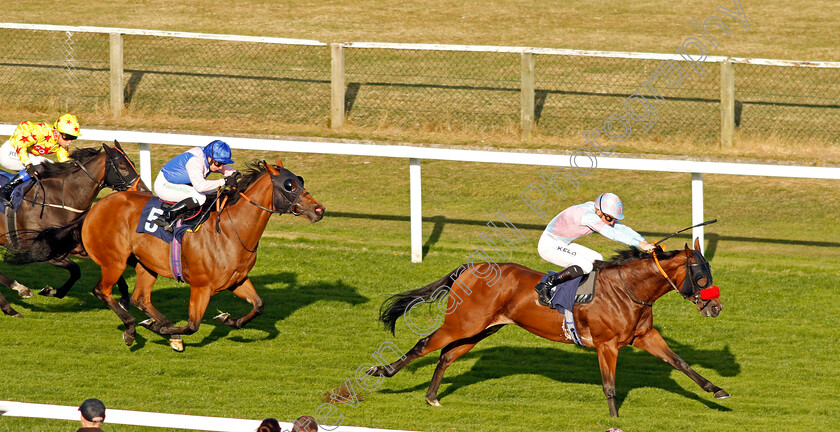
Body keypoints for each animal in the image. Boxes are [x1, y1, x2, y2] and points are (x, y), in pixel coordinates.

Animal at [0, 143, 148, 318]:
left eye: (133, 163)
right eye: (123, 167)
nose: (145, 191)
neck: (60, 200)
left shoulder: (78, 247)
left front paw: (124, 299)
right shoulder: (41, 252)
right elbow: (76, 270)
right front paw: (52, 291)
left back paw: (13, 302)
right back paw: (16, 295)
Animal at [9, 159, 324, 352]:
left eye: (300, 180)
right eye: (289, 185)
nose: (319, 209)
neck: (232, 230)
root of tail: (95, 207)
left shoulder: (237, 280)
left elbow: (258, 305)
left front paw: (228, 320)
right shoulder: (201, 286)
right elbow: (193, 325)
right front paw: (166, 329)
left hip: (144, 265)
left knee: (140, 298)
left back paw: (157, 325)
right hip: (114, 261)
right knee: (103, 291)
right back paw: (135, 328)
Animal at [370, 240, 728, 416]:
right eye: (700, 274)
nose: (716, 307)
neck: (629, 289)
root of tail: (471, 268)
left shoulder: (644, 336)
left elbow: (681, 363)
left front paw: (717, 391)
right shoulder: (606, 345)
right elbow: (609, 385)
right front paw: (614, 419)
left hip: (480, 329)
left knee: (445, 355)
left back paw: (432, 397)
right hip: (463, 323)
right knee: (423, 346)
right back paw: (381, 371)